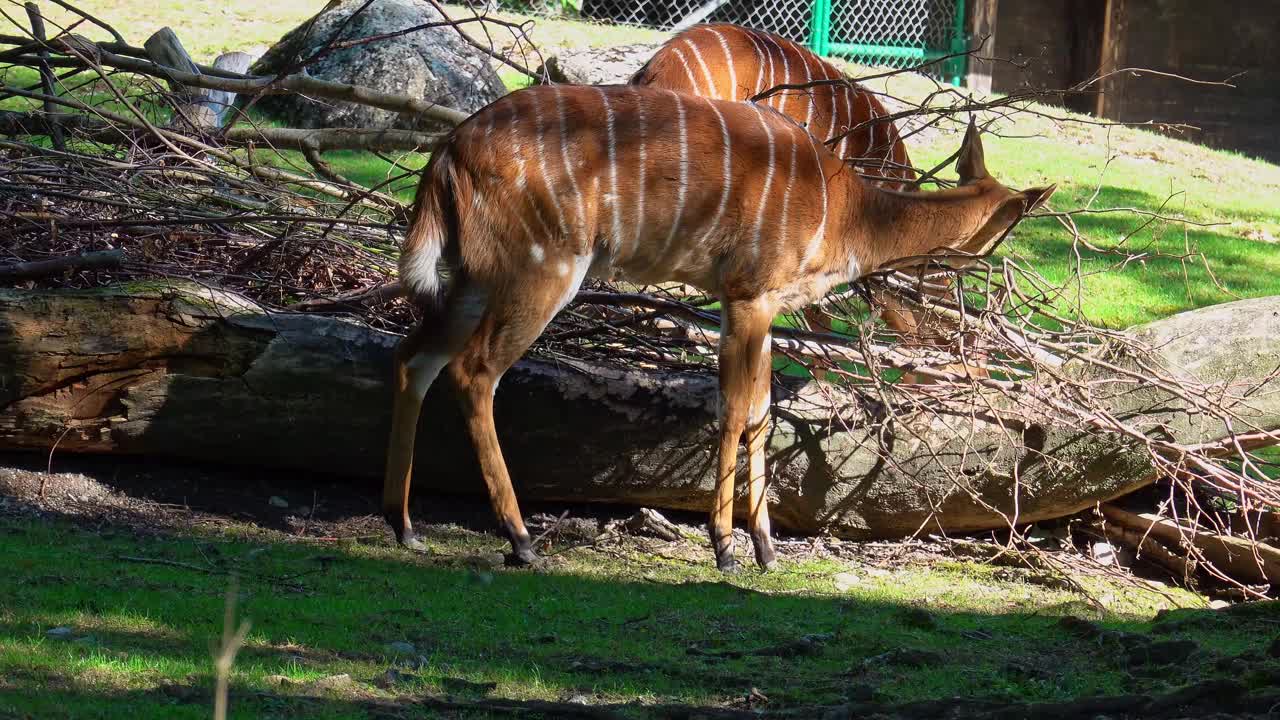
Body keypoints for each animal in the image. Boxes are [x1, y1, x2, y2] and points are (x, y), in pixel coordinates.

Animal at [381, 82, 1059, 566]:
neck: (848, 216)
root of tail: (446, 153)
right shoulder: (749, 293)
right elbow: (735, 408)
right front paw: (725, 545)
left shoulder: (761, 304)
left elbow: (761, 408)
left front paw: (765, 547)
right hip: (541, 267)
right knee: (473, 371)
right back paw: (519, 538)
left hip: (473, 277)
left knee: (414, 356)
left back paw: (404, 525)